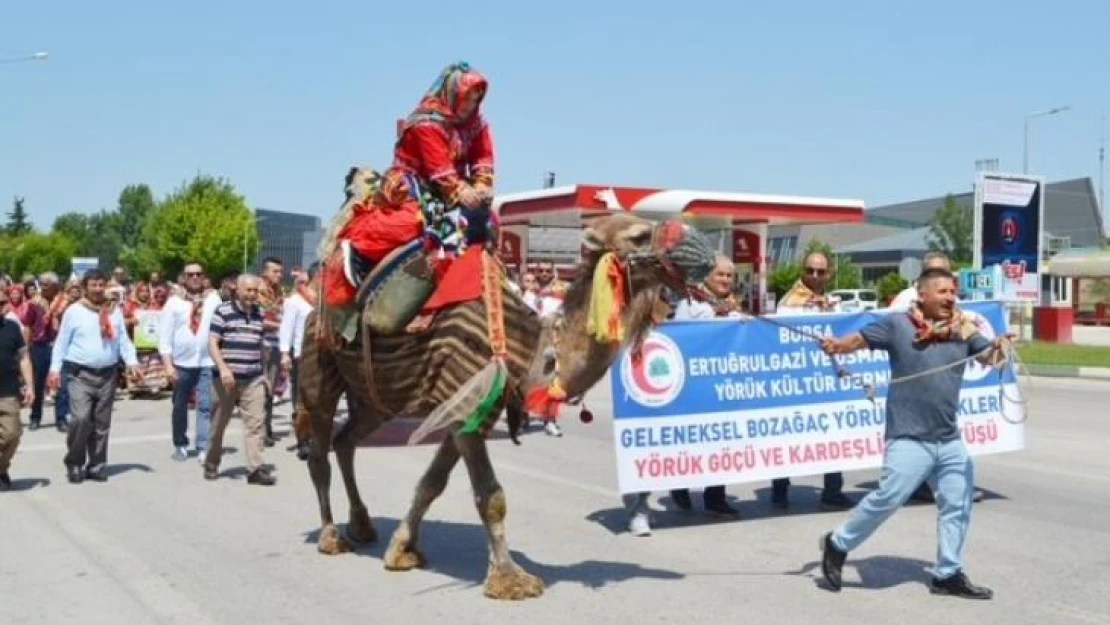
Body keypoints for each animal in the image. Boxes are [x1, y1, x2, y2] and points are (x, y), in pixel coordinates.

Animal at [295, 172, 714, 599]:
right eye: (640, 235)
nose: (706, 250)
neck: (528, 347)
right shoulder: (464, 400)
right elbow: (490, 495)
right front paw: (510, 579)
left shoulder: (470, 408)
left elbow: (432, 483)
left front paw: (401, 550)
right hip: (319, 366)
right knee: (319, 451)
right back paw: (331, 536)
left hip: (376, 398)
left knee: (346, 441)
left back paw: (362, 525)